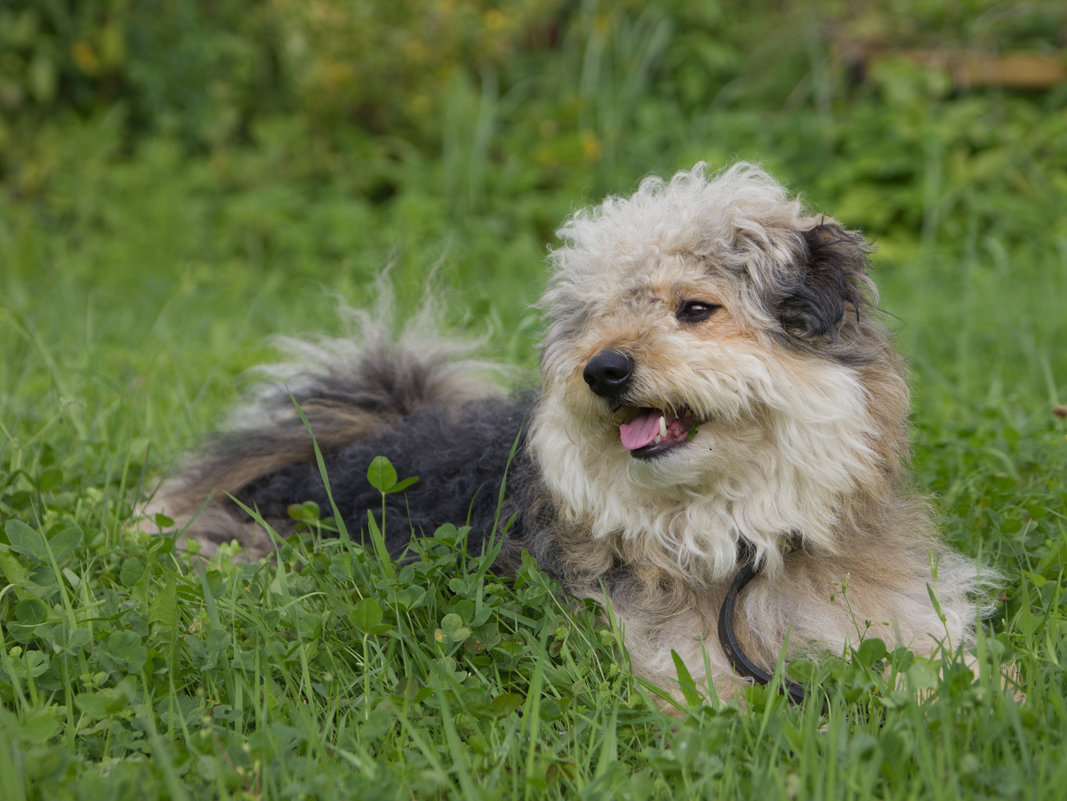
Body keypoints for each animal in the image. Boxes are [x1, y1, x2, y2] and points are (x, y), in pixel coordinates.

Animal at [150, 166, 990, 703]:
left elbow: (956, 676)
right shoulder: (680, 663)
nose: (602, 370)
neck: (733, 537)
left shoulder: (902, 617)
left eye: (694, 308)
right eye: (595, 318)